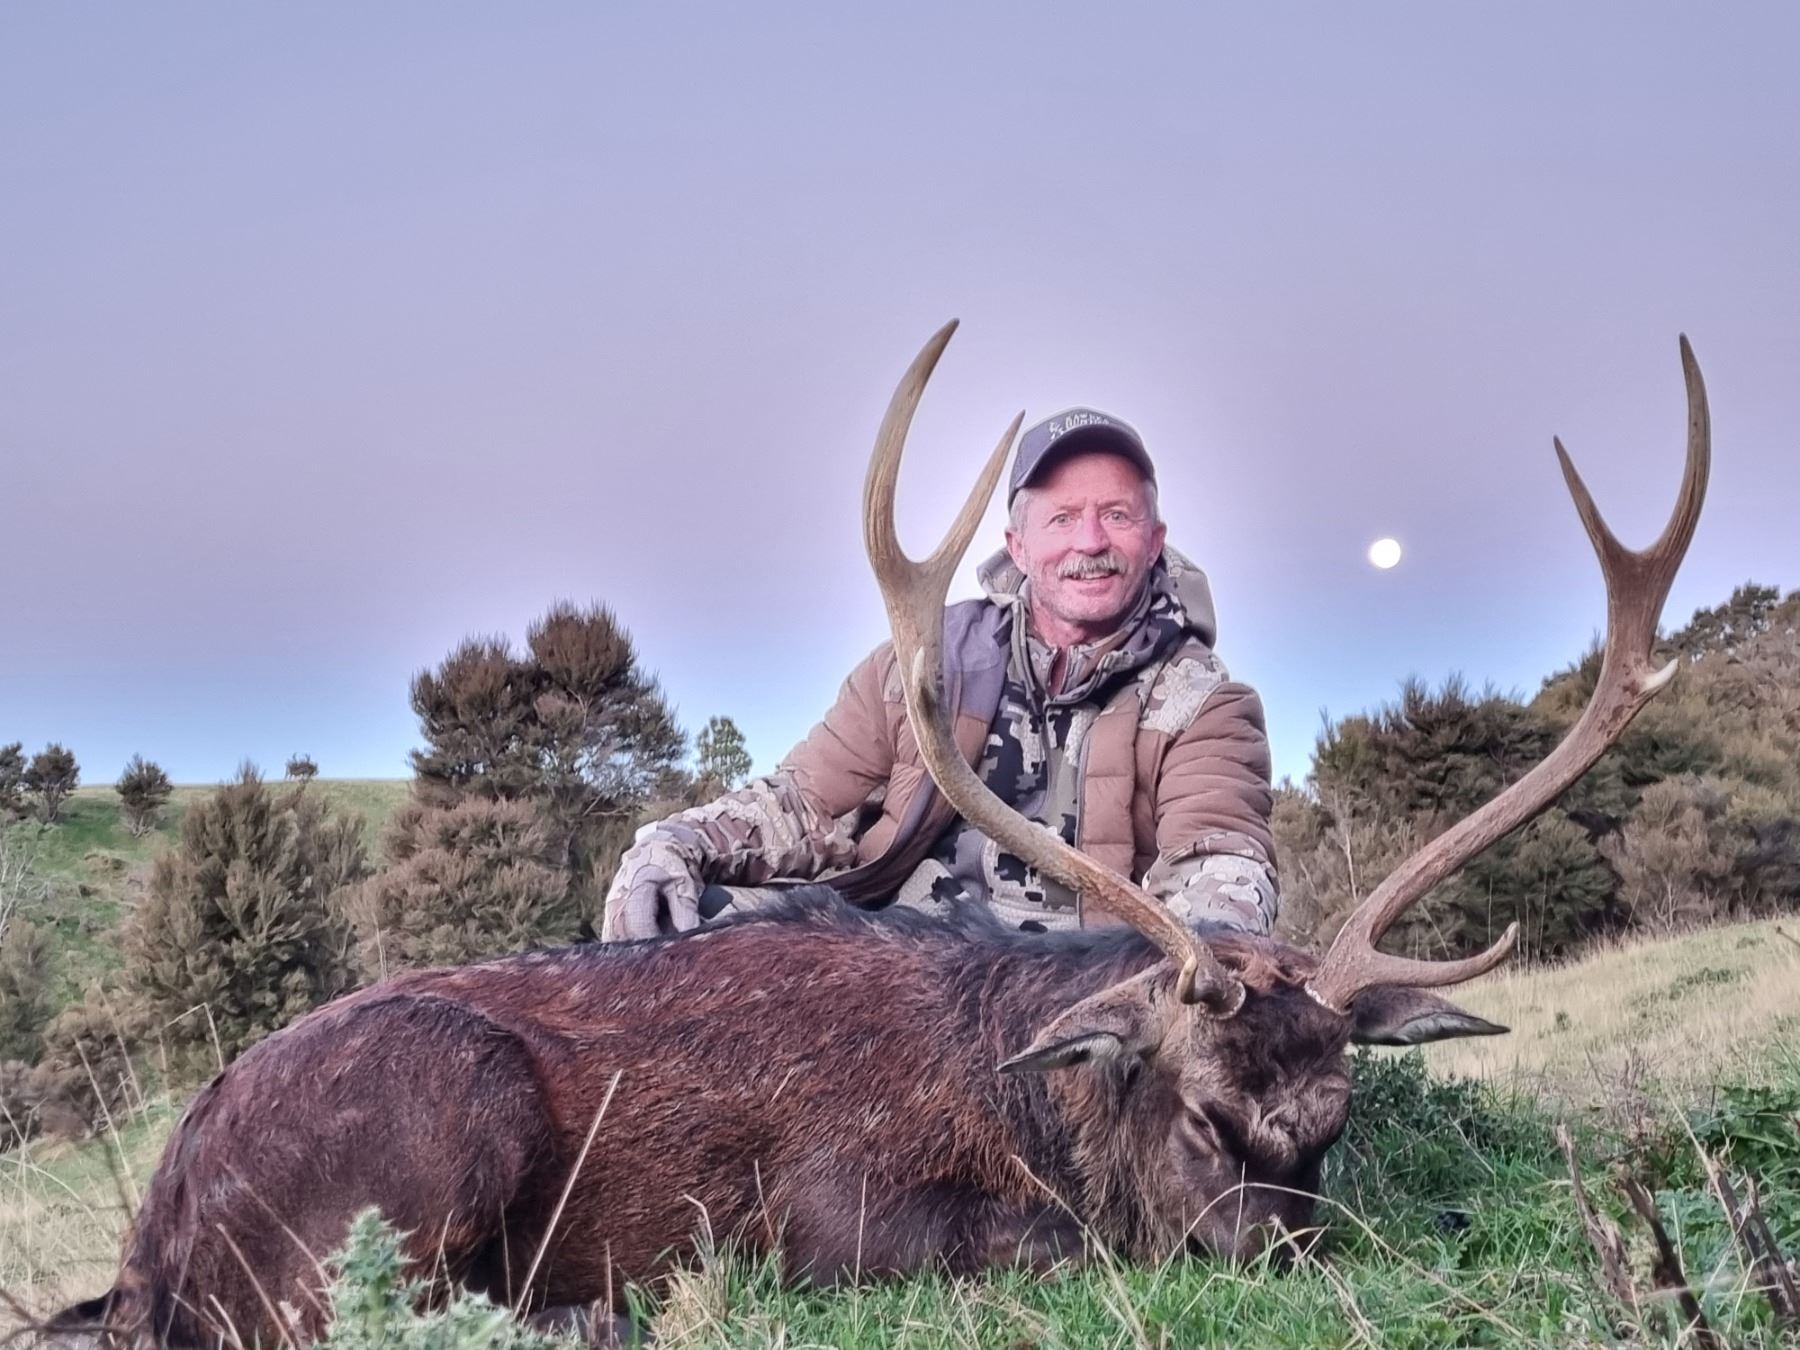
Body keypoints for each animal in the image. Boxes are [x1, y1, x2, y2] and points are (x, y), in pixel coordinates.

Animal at [51, 323, 1710, 1347]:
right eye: (1201, 1114)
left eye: (1328, 1123)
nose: (1280, 1272)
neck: (1030, 1103)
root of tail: (158, 1229)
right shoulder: (833, 1213)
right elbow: (1033, 1250)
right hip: (428, 1123)